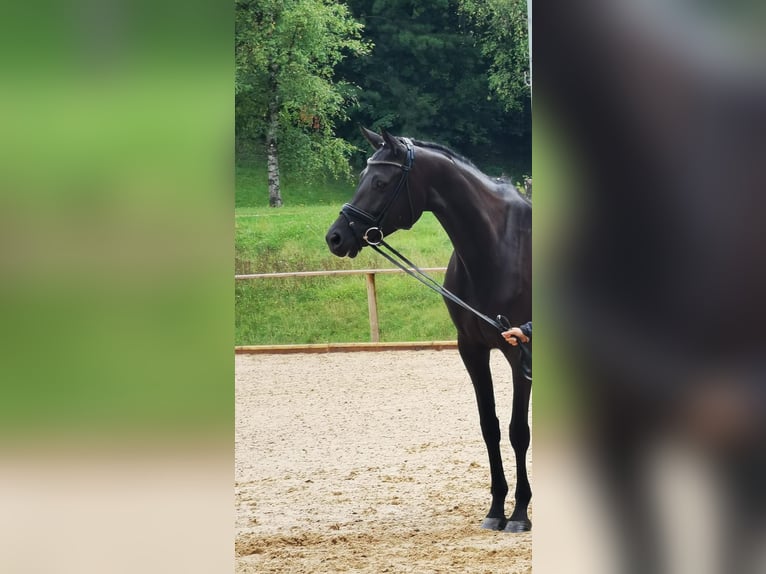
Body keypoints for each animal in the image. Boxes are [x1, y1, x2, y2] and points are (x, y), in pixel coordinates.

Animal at [326, 128, 536, 532]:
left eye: (380, 182)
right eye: (361, 177)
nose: (336, 237)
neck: (497, 248)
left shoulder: (519, 350)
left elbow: (519, 431)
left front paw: (519, 513)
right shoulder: (472, 348)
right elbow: (489, 426)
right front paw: (496, 509)